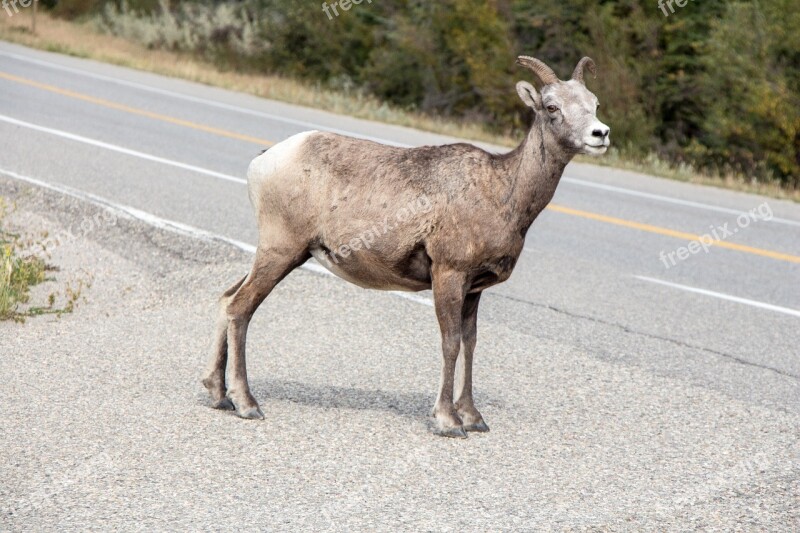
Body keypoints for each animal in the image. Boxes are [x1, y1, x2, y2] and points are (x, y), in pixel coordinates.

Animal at [203, 56, 608, 436]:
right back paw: (247, 403)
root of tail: (263, 160)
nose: (600, 134)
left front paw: (474, 417)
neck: (501, 193)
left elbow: (472, 344)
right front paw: (449, 421)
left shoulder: (475, 289)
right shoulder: (448, 275)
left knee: (226, 298)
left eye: (594, 103)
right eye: (552, 106)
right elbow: (451, 344)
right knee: (240, 308)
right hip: (282, 251)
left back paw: (218, 395)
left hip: (278, 254)